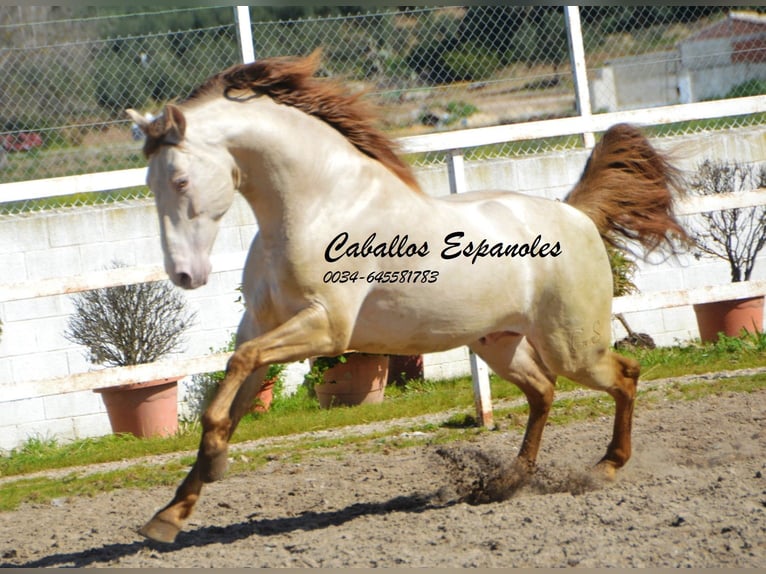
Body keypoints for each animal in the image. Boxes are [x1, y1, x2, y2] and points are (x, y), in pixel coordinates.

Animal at [127, 50, 688, 544]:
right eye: (150, 185)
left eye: (180, 180)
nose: (185, 274)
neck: (319, 205)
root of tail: (575, 213)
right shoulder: (261, 326)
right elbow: (230, 395)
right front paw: (170, 515)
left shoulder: (326, 329)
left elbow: (236, 374)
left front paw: (214, 467)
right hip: (498, 343)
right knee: (543, 392)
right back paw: (508, 482)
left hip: (572, 345)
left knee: (624, 375)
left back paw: (606, 467)